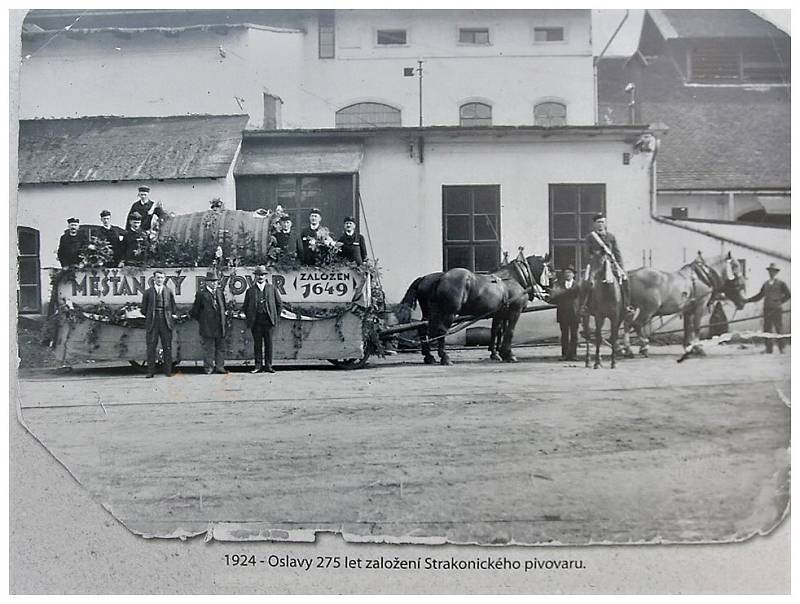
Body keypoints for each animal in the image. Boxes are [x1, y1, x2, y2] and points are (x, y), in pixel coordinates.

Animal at [398, 252, 552, 366]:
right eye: (549, 270)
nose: (550, 289)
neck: (513, 279)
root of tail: (438, 278)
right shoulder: (515, 311)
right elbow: (510, 332)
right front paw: (509, 354)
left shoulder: (499, 313)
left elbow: (496, 331)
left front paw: (496, 353)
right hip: (449, 312)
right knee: (441, 331)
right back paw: (445, 357)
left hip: (430, 313)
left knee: (424, 329)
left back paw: (429, 356)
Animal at [620, 251, 748, 358]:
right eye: (735, 266)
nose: (742, 302)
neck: (703, 277)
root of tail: (631, 274)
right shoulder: (700, 306)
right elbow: (696, 327)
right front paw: (698, 348)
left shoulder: (688, 310)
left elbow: (687, 328)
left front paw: (688, 347)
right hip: (648, 309)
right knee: (636, 324)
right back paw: (644, 347)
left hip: (632, 308)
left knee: (627, 324)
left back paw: (628, 350)